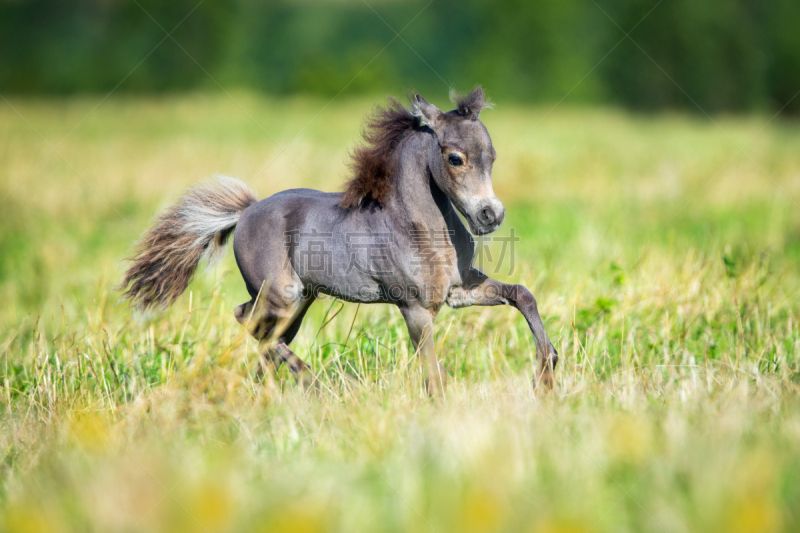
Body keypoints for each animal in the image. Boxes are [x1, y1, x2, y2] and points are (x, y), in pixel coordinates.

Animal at [122, 87, 560, 392]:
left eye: (492, 156)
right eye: (455, 158)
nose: (491, 215)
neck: (416, 226)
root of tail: (247, 211)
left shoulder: (457, 291)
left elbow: (522, 294)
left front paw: (548, 370)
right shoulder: (416, 308)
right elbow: (433, 373)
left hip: (298, 304)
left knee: (265, 337)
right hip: (280, 296)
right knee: (247, 320)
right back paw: (313, 383)